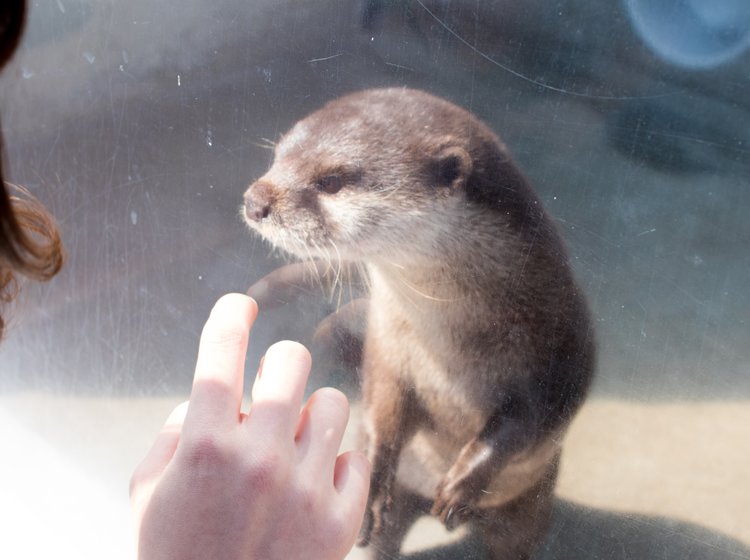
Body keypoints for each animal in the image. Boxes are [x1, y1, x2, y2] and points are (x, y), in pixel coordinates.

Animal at [244, 89, 596, 556]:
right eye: (278, 156)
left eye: (332, 181)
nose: (255, 201)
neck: (452, 344)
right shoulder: (388, 347)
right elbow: (381, 410)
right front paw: (373, 479)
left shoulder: (561, 353)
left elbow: (528, 426)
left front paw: (462, 485)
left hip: (529, 509)